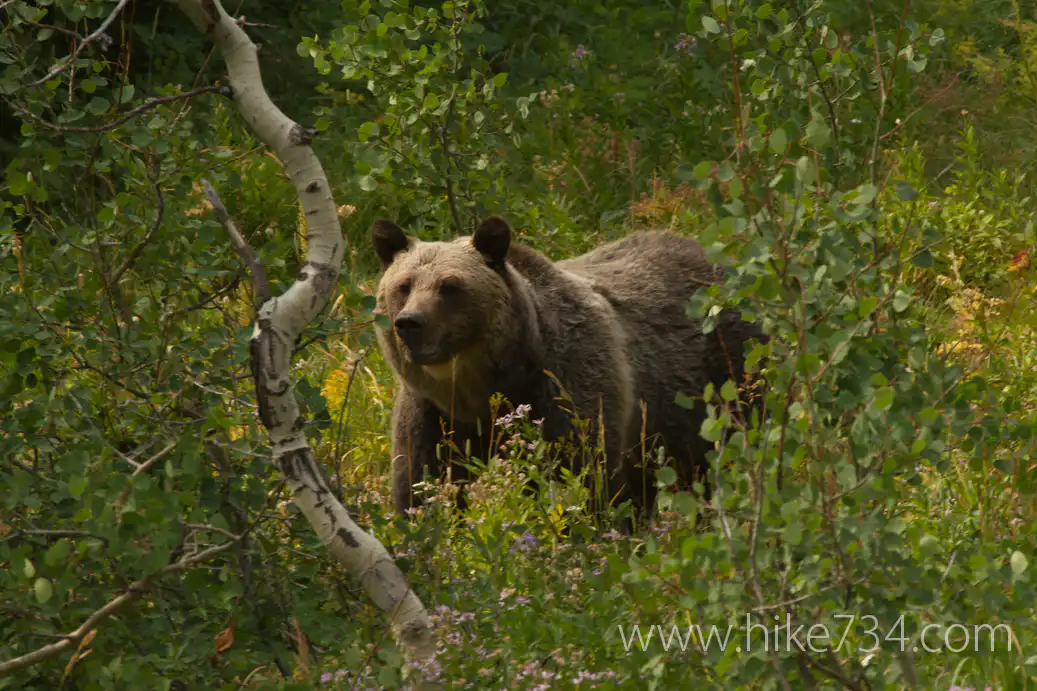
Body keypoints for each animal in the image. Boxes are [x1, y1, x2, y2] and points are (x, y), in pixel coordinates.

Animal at [370, 216, 767, 519]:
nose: (410, 322)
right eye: (404, 285)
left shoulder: (566, 382)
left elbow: (581, 474)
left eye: (450, 286)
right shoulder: (432, 412)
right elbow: (420, 482)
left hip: (725, 375)